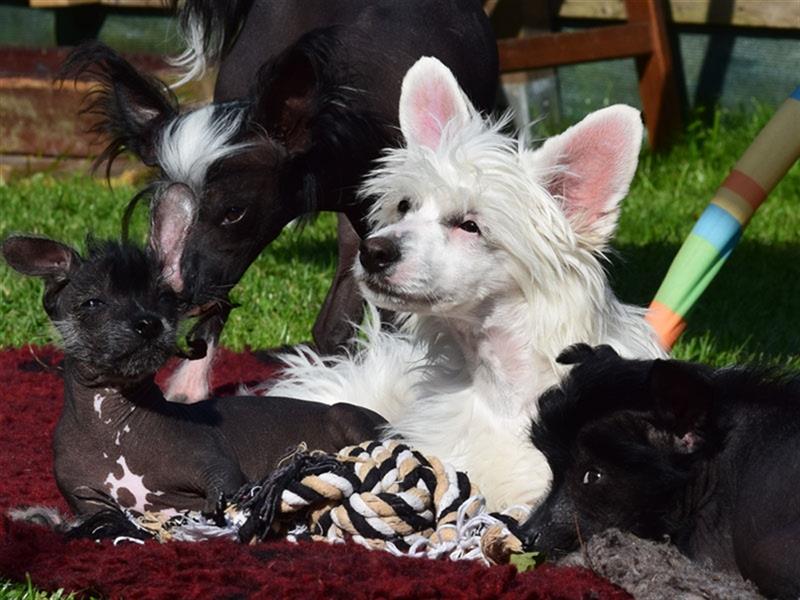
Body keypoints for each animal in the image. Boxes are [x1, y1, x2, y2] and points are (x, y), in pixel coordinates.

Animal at [1, 234, 384, 516]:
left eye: (162, 298)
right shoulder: (87, 500)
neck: (114, 426)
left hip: (345, 415)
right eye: (93, 302)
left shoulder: (218, 468)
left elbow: (225, 487)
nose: (149, 323)